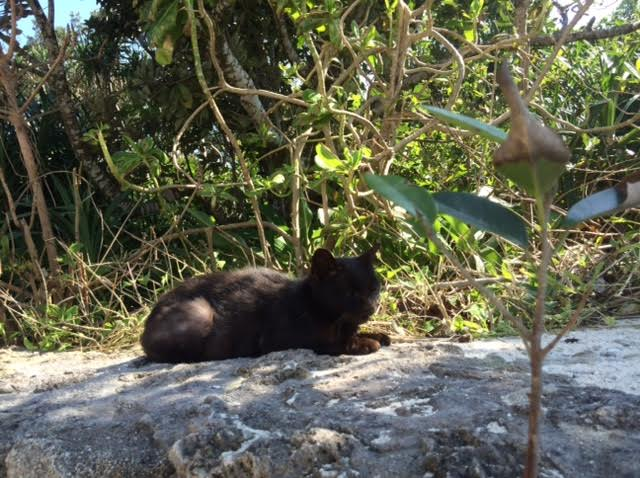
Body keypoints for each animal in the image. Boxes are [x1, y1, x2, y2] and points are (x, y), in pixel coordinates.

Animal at [141, 246, 390, 362]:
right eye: (349, 292)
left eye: (373, 289)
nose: (371, 307)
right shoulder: (281, 341)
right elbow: (331, 343)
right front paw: (365, 343)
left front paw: (378, 334)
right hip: (200, 313)